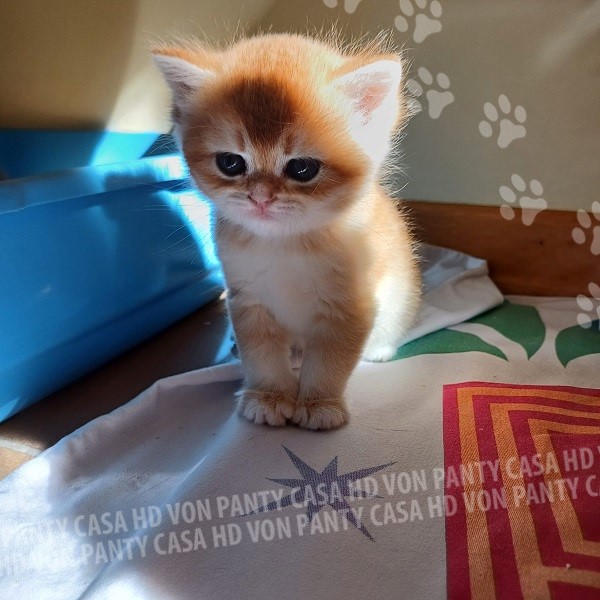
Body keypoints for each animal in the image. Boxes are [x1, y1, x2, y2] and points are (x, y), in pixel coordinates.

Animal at [153, 33, 421, 430]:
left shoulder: (349, 306)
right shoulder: (248, 300)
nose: (261, 197)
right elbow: (261, 353)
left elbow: (329, 361)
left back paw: (379, 350)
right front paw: (269, 397)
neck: (285, 243)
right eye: (230, 163)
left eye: (302, 169)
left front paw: (319, 403)